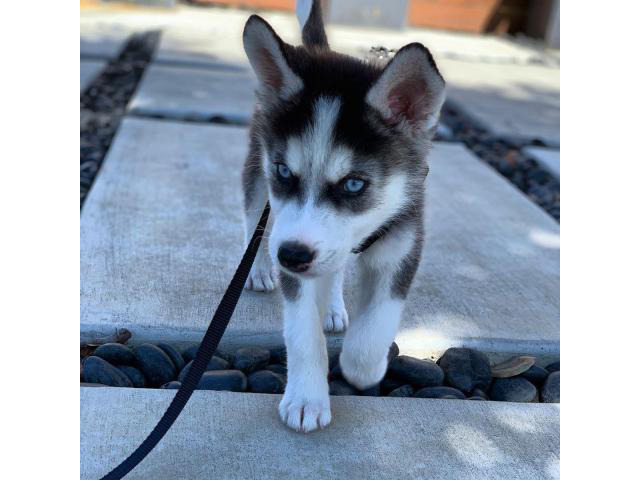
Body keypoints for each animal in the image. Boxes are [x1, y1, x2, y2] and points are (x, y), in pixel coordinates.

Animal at [240, 0, 444, 434]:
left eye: (353, 184)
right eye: (284, 171)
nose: (291, 257)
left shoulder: (404, 242)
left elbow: (376, 327)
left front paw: (364, 367)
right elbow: (303, 334)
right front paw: (306, 398)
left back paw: (333, 306)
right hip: (254, 170)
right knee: (252, 218)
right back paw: (260, 269)